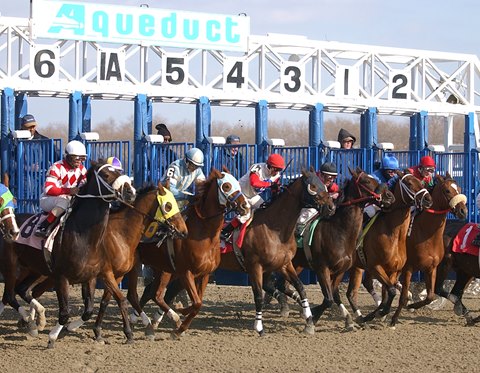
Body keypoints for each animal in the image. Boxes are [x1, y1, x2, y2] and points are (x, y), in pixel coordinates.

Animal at [0, 160, 136, 346]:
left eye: (120, 171)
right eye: (107, 174)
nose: (130, 192)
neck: (84, 236)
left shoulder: (92, 276)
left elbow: (89, 309)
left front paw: (71, 328)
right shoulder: (61, 277)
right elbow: (64, 312)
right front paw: (52, 337)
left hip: (35, 269)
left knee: (22, 290)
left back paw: (37, 319)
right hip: (11, 266)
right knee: (10, 294)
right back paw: (31, 322)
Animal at [125, 169, 249, 338]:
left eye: (238, 183)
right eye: (227, 186)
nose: (245, 206)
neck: (203, 235)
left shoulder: (205, 274)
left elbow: (198, 303)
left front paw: (181, 324)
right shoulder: (186, 272)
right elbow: (196, 303)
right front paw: (180, 318)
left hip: (162, 269)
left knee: (152, 292)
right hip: (139, 266)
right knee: (146, 294)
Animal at [346, 170, 434, 322]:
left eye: (421, 182)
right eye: (409, 183)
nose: (428, 199)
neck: (394, 235)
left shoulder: (394, 270)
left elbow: (389, 292)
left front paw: (380, 313)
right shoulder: (375, 267)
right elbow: (391, 291)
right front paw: (380, 313)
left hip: (356, 266)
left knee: (354, 290)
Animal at [392, 174, 466, 326]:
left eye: (459, 189)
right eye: (447, 191)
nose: (463, 211)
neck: (425, 234)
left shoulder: (431, 267)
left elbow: (430, 296)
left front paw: (412, 306)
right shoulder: (408, 268)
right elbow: (403, 297)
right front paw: (395, 318)